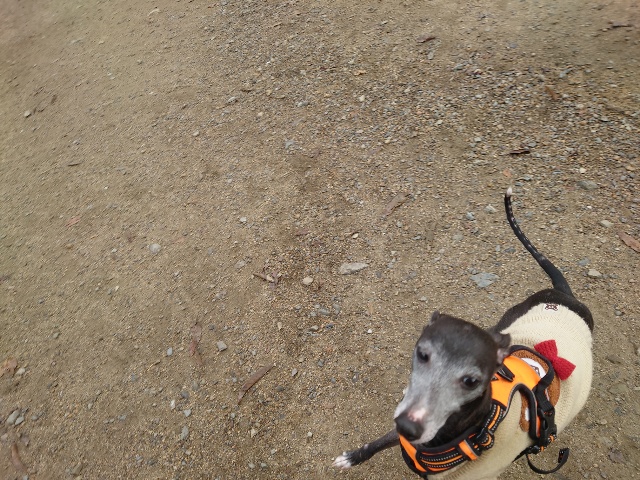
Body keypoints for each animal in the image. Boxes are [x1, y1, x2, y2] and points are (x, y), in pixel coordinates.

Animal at [333, 188, 593, 479]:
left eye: (471, 381)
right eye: (422, 354)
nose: (409, 427)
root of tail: (565, 295)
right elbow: (377, 442)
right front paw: (353, 457)